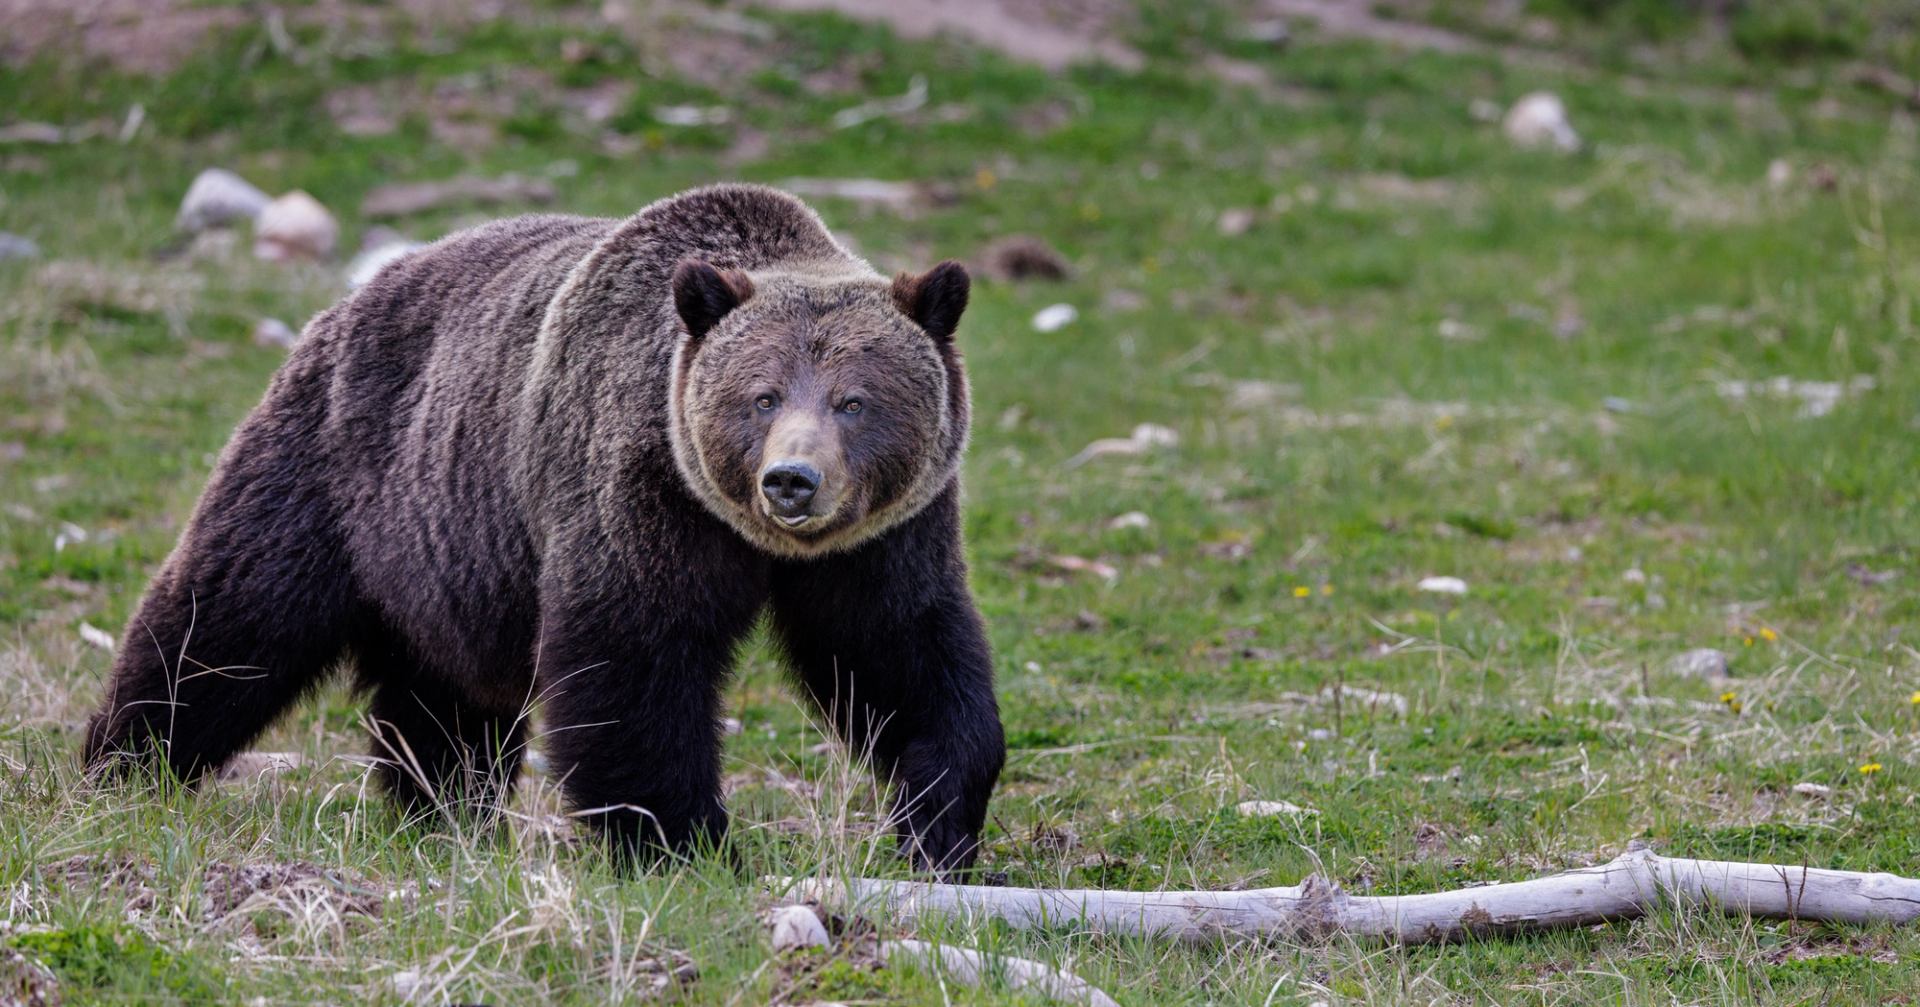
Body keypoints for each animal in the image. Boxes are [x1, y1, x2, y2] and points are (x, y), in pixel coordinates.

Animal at [83, 183, 1005, 873]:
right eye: (762, 395)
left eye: (855, 400)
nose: (791, 480)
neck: (751, 536)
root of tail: (348, 302)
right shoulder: (635, 488)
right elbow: (632, 665)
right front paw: (686, 841)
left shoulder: (881, 536)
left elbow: (899, 654)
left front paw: (937, 817)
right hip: (331, 471)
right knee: (229, 621)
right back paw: (123, 764)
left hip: (445, 550)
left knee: (446, 700)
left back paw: (444, 814)